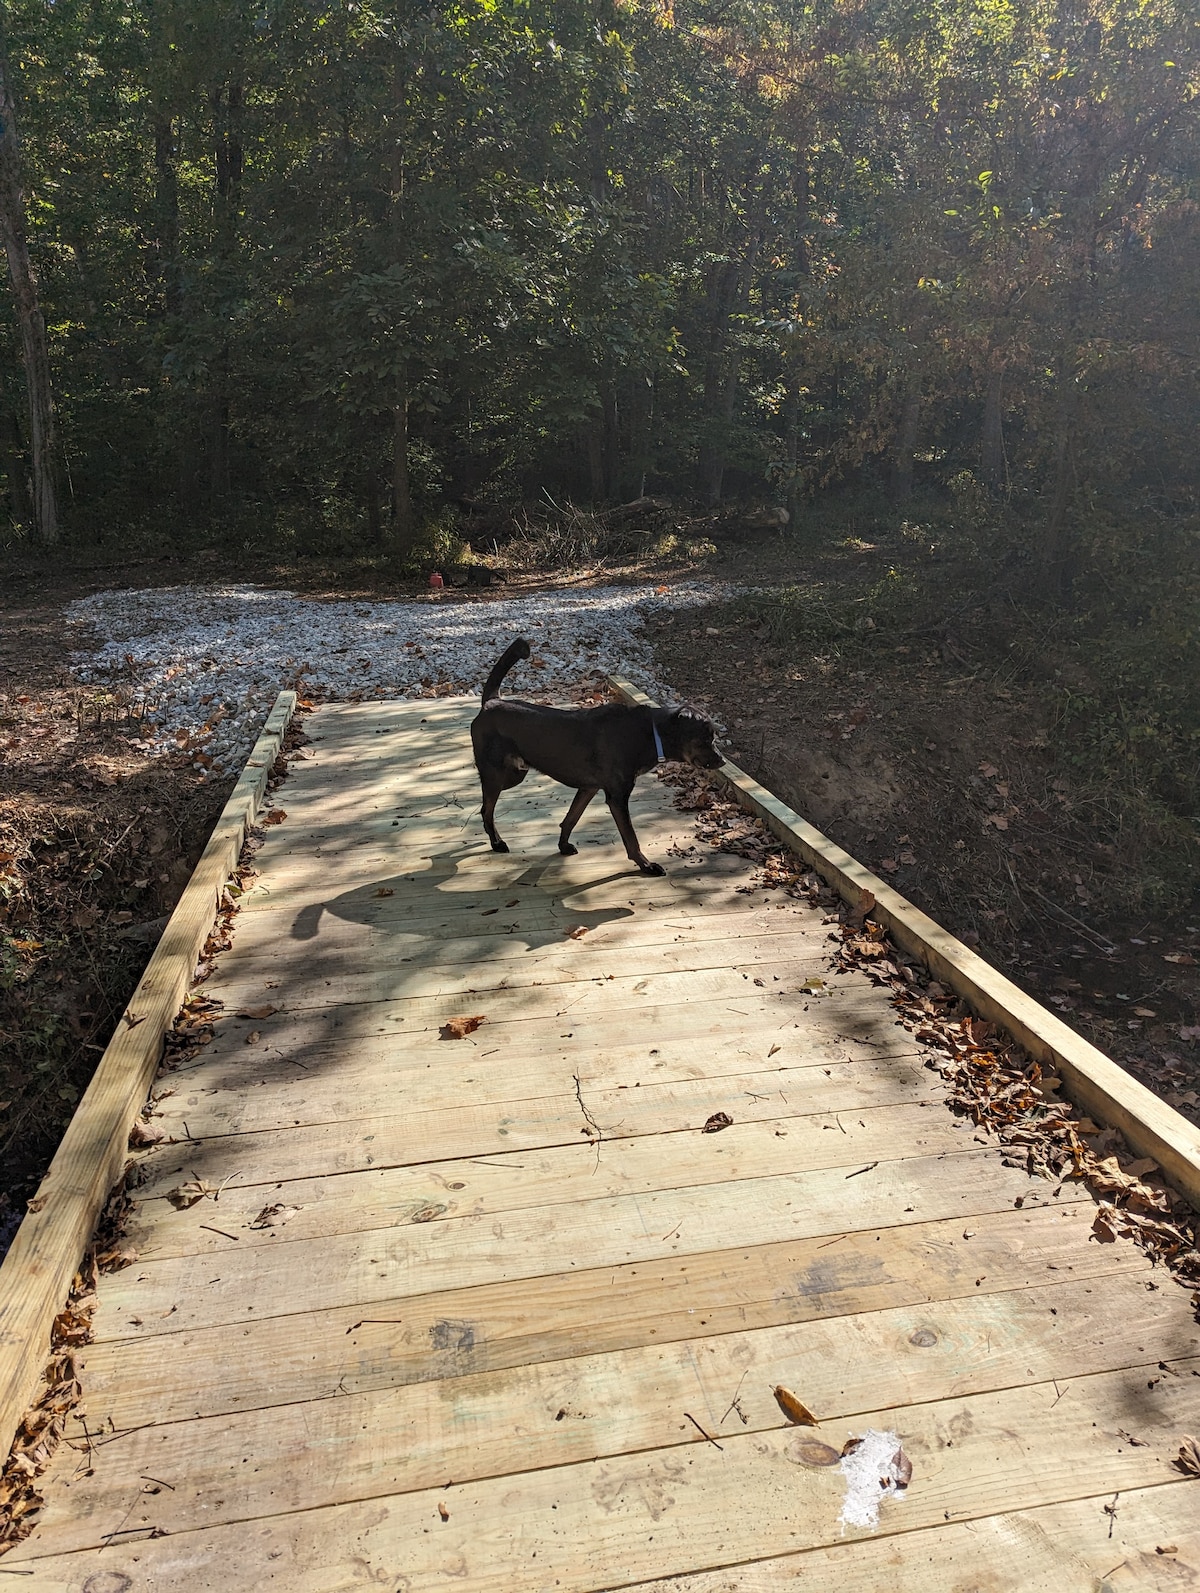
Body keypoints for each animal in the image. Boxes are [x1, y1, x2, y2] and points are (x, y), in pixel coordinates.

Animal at [471, 637, 720, 885]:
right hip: (497, 774)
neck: (650, 732)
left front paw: (563, 846)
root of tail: (490, 702)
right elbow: (631, 838)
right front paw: (647, 865)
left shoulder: (589, 788)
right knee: (486, 809)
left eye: (713, 737)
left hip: (514, 773)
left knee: (486, 807)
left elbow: (571, 818)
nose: (721, 762)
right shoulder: (617, 798)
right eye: (705, 738)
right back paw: (496, 842)